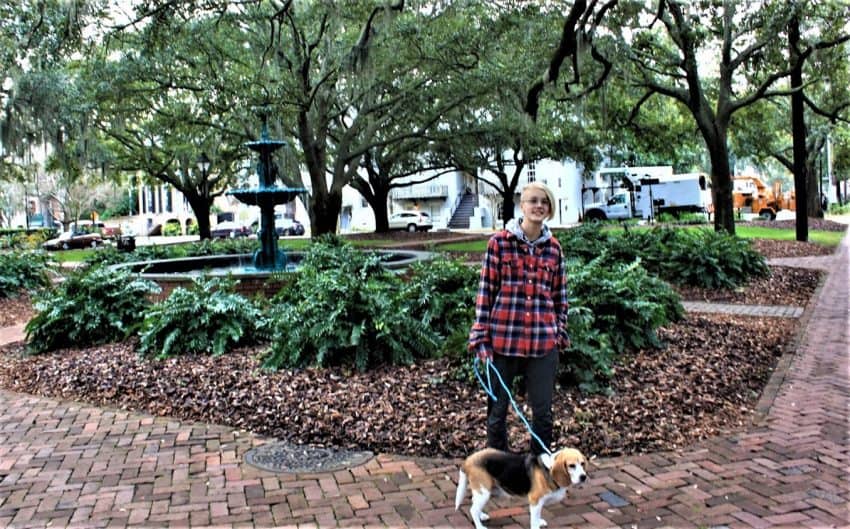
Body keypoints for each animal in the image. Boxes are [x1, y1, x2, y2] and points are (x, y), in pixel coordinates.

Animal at [454, 446, 588, 528]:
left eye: (582, 463)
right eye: (571, 465)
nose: (583, 477)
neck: (549, 469)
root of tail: (468, 460)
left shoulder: (538, 503)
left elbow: (538, 515)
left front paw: (539, 521)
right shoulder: (535, 501)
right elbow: (534, 519)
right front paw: (536, 525)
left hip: (484, 491)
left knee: (474, 504)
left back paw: (481, 515)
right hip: (484, 492)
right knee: (473, 509)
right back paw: (480, 526)